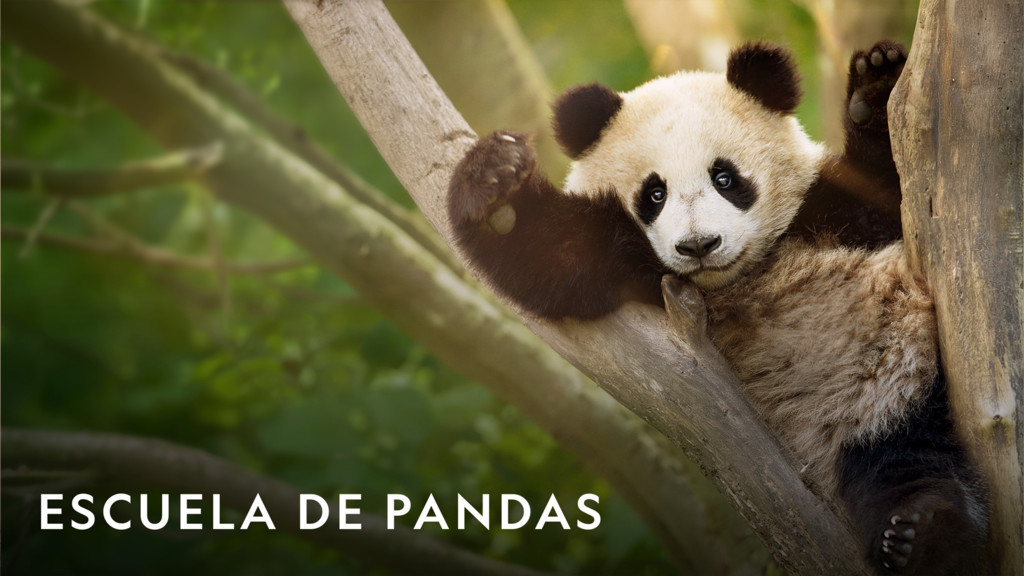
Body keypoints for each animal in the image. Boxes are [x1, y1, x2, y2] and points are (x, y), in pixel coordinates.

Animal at [447, 41, 988, 575]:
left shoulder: (828, 209)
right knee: (900, 467)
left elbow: (891, 187)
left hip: (896, 385)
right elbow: (546, 254)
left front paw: (876, 83)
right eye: (655, 193)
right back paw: (922, 534)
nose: (699, 245)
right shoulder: (625, 262)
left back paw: (925, 532)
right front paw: (494, 176)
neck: (740, 276)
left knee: (910, 455)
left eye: (725, 178)